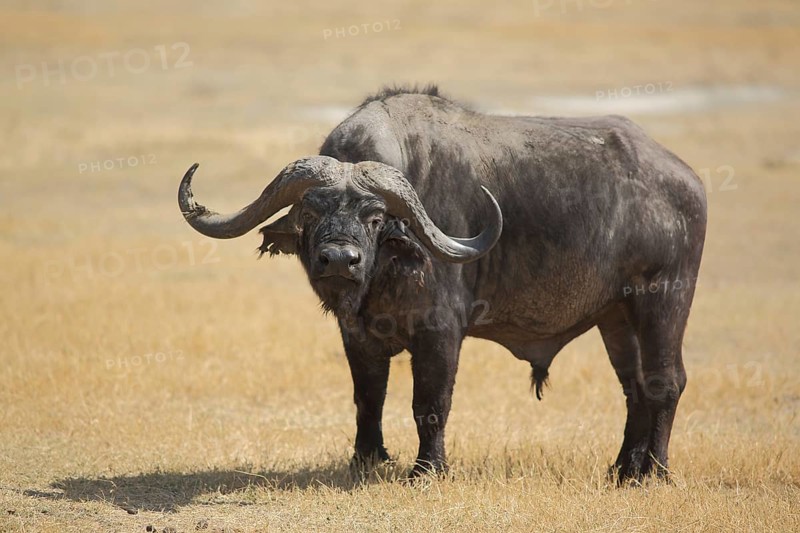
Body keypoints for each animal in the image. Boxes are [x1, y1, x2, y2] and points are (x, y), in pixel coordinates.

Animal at [178, 85, 707, 481]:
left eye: (374, 218)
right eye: (309, 212)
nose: (339, 260)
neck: (388, 268)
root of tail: (686, 182)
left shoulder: (440, 332)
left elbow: (430, 403)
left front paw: (427, 469)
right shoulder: (356, 336)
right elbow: (368, 398)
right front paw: (365, 460)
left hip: (663, 299)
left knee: (666, 381)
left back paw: (655, 472)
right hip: (616, 317)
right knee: (634, 387)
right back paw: (623, 469)